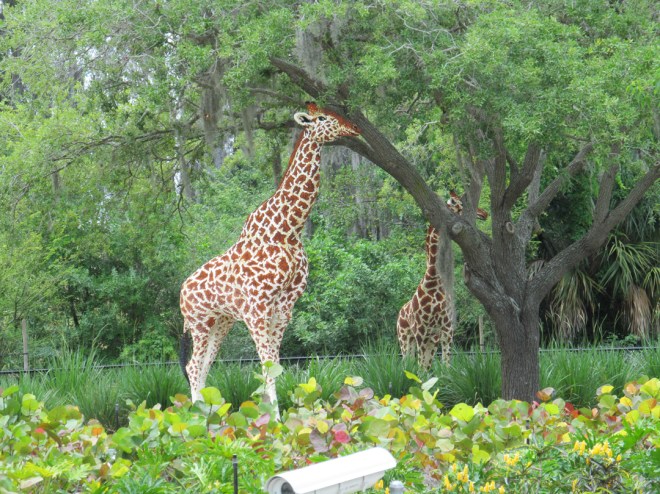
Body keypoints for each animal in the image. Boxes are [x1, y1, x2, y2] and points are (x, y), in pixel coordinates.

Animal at [179, 102, 361, 413]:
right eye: (323, 118)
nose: (355, 128)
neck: (288, 230)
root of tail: (181, 293)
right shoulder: (257, 308)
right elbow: (266, 367)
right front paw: (273, 417)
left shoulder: (284, 307)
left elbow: (275, 366)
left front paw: (270, 415)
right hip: (199, 323)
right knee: (192, 367)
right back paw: (199, 418)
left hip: (221, 323)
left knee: (202, 368)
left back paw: (207, 414)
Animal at [397, 192, 488, 370]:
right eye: (461, 203)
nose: (484, 213)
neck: (433, 281)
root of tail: (400, 312)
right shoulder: (421, 332)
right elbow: (420, 370)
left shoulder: (446, 330)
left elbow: (446, 367)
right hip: (405, 338)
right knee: (407, 365)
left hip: (430, 342)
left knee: (424, 366)